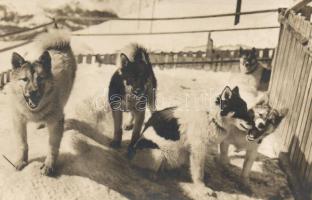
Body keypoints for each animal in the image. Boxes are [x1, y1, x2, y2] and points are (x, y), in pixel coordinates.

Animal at [5, 29, 76, 175]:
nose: (33, 92)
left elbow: (52, 147)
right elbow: (22, 144)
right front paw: (22, 161)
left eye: (40, 78)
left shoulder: (56, 122)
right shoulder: (18, 120)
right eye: (25, 79)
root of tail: (59, 45)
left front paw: (49, 165)